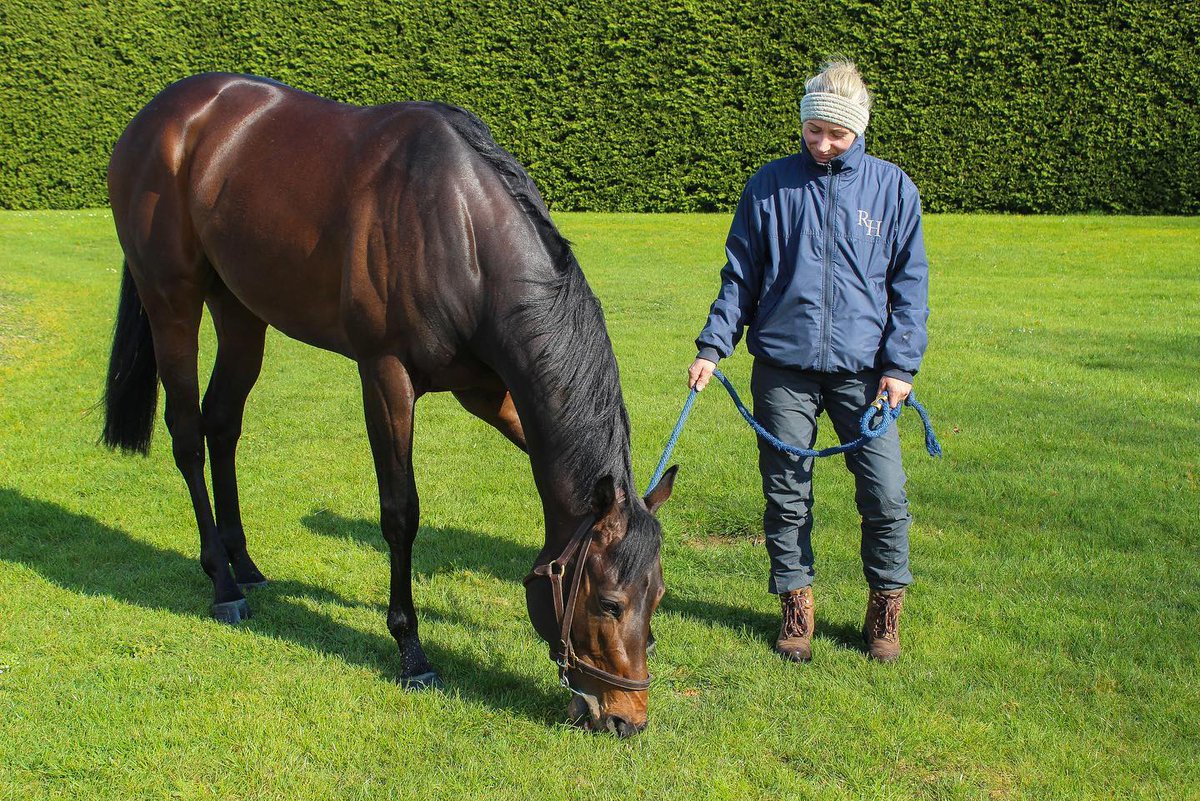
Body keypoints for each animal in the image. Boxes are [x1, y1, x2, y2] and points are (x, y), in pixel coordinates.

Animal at [101, 73, 677, 737]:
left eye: (658, 596)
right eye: (609, 602)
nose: (627, 718)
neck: (460, 227)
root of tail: (159, 115)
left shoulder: (489, 392)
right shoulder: (385, 375)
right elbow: (400, 512)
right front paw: (412, 651)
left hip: (241, 312)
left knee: (222, 425)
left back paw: (241, 561)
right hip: (172, 301)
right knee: (189, 435)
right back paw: (223, 583)